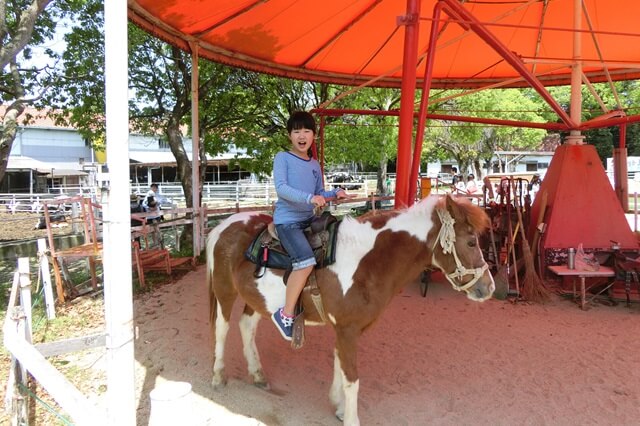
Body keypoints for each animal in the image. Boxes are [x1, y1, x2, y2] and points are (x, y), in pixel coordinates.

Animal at [208, 195, 492, 424]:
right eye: (471, 242)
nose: (488, 288)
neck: (366, 261)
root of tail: (224, 225)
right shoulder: (347, 329)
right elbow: (352, 379)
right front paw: (351, 419)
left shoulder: (346, 330)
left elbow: (339, 366)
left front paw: (339, 407)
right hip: (224, 291)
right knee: (222, 329)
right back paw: (218, 376)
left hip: (257, 298)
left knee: (246, 326)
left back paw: (257, 375)